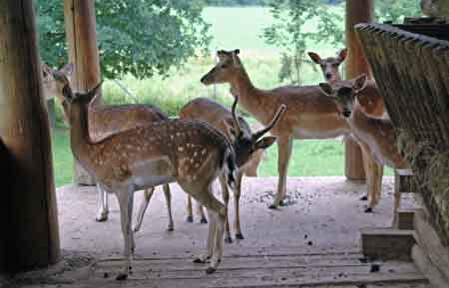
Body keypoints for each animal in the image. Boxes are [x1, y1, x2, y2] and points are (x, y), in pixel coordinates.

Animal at [62, 82, 238, 280]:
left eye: (65, 101)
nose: (63, 118)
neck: (94, 156)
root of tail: (225, 144)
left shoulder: (121, 185)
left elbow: (124, 225)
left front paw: (123, 271)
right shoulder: (130, 189)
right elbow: (129, 223)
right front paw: (131, 259)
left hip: (193, 178)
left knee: (220, 208)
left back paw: (213, 264)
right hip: (206, 178)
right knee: (213, 210)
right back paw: (203, 256)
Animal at [133, 97, 286, 243]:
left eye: (252, 150)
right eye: (233, 143)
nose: (234, 164)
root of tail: (185, 106)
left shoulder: (241, 170)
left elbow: (237, 193)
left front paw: (239, 233)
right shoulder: (223, 171)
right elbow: (225, 195)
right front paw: (228, 236)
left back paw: (204, 216)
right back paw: (191, 215)